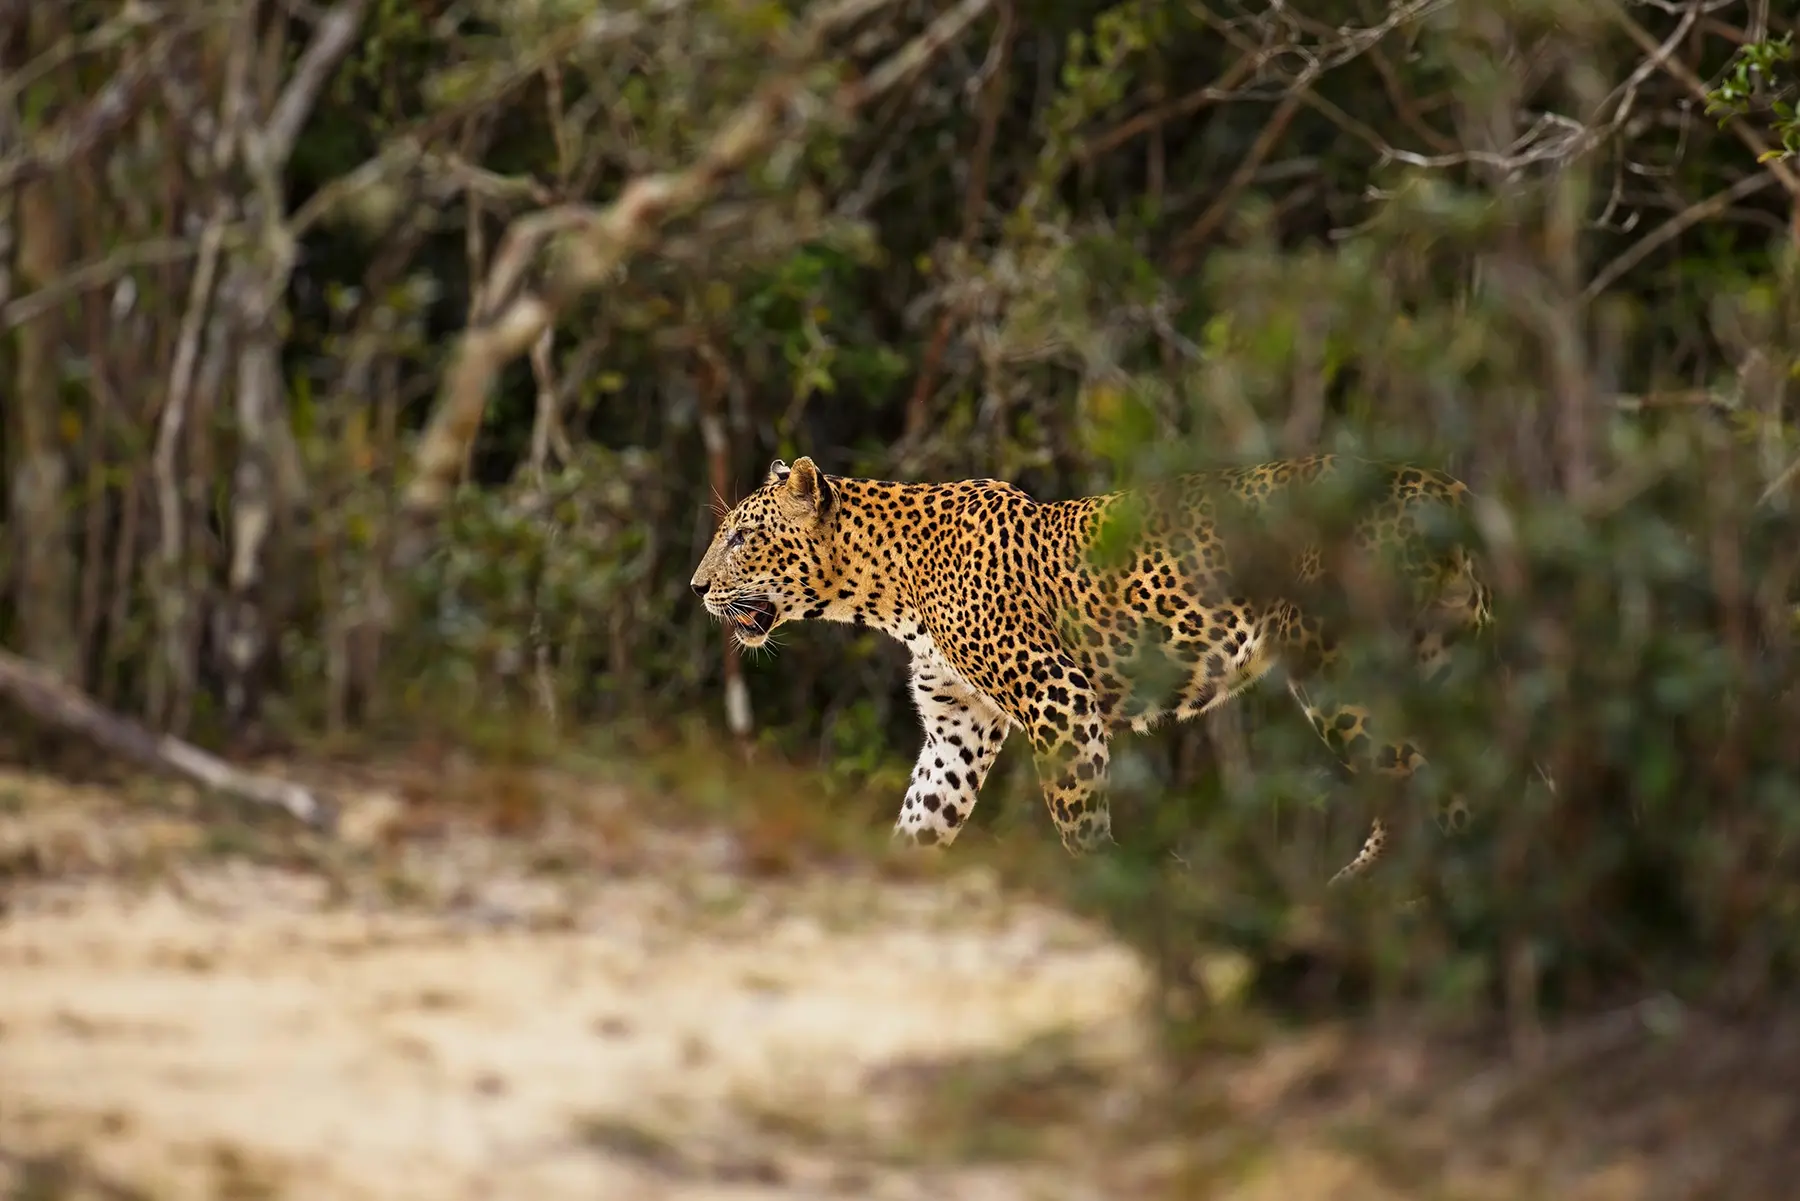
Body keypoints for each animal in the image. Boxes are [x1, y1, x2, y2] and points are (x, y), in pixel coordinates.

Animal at [689, 453, 1496, 884]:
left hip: (1342, 669)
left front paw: (1106, 888)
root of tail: (1441, 485)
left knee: (1429, 786)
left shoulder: (1060, 700)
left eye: (743, 537)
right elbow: (924, 816)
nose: (696, 587)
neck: (887, 585)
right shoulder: (959, 725)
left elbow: (1078, 819)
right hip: (1438, 661)